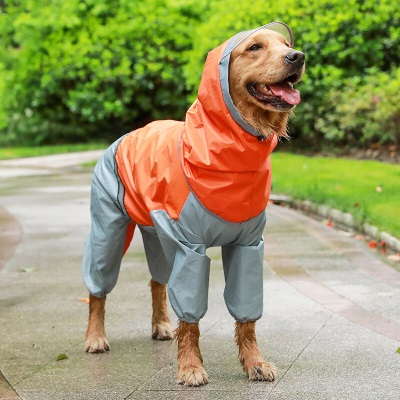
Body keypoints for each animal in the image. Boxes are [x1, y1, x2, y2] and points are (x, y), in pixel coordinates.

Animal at [83, 22, 304, 388]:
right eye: (255, 47)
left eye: (286, 44)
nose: (297, 57)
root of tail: (127, 134)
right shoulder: (189, 248)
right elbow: (190, 318)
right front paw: (190, 367)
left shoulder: (247, 245)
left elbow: (247, 314)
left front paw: (254, 363)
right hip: (108, 228)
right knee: (98, 286)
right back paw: (95, 336)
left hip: (156, 233)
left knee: (157, 281)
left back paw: (160, 325)